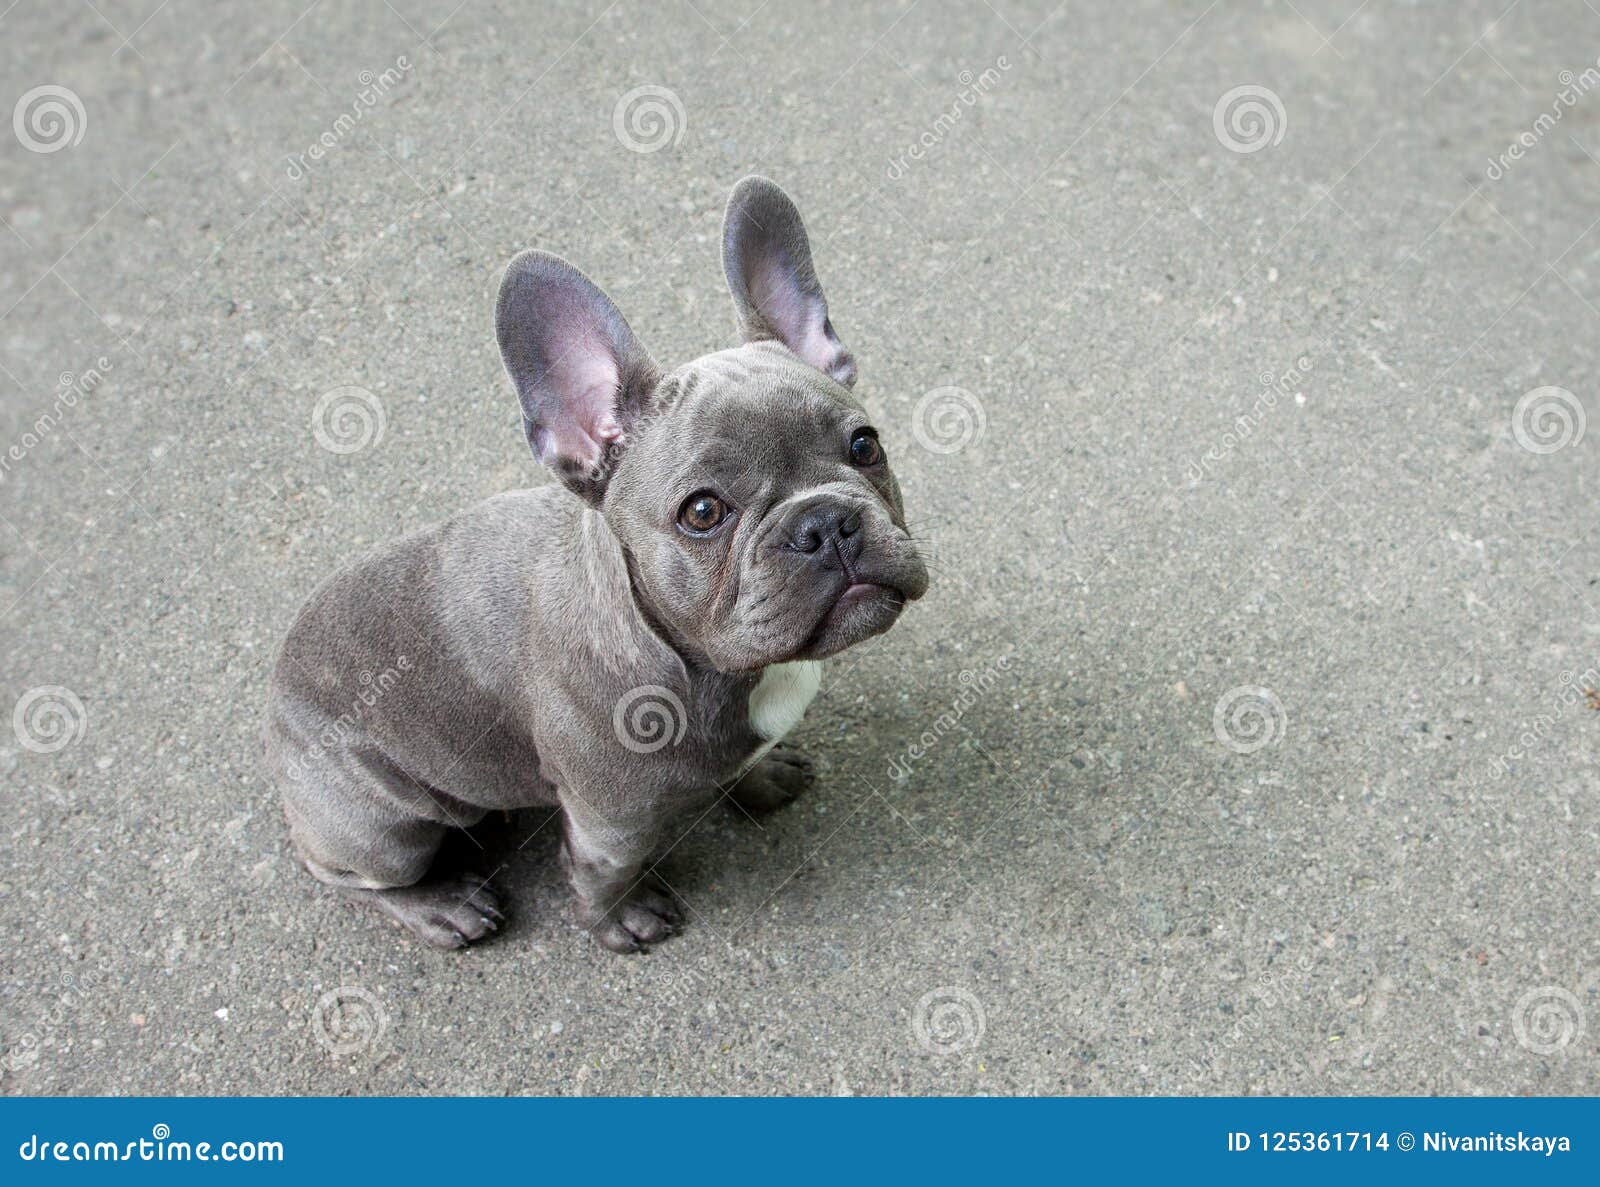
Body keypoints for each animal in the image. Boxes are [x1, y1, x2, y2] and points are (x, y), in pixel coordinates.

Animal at [265, 179, 928, 959]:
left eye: (865, 445)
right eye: (703, 512)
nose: (824, 524)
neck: (707, 663)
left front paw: (763, 773)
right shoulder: (610, 819)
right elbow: (605, 871)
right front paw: (622, 919)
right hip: (383, 829)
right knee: (355, 875)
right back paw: (442, 906)